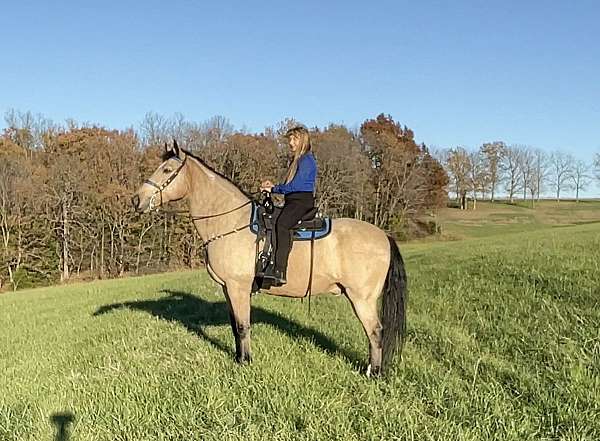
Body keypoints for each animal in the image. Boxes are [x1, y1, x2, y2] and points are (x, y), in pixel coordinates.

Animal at [131, 140, 408, 374]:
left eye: (167, 169)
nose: (137, 199)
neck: (231, 222)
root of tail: (384, 236)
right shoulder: (228, 288)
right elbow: (235, 326)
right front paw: (238, 358)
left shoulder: (238, 287)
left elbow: (243, 326)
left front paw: (246, 363)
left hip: (362, 298)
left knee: (375, 332)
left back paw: (374, 373)